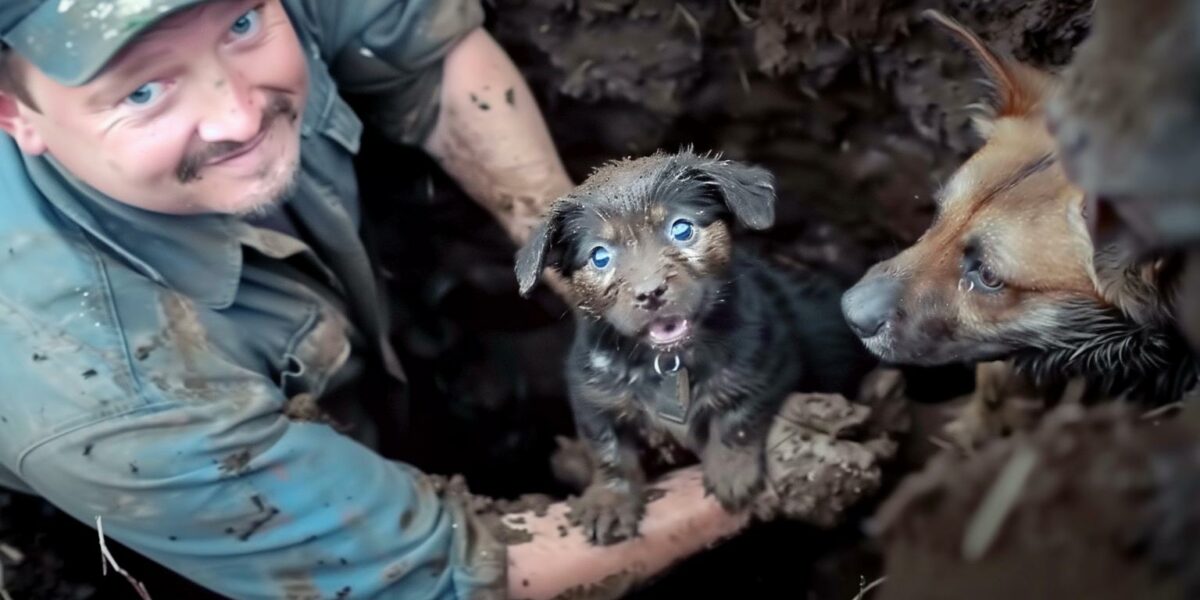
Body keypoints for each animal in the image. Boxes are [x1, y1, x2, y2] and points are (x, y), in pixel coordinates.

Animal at [511, 151, 868, 544]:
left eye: (681, 229)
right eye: (600, 257)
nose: (650, 293)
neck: (667, 359)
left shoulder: (767, 360)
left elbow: (738, 417)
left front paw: (731, 474)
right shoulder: (591, 391)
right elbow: (607, 447)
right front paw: (610, 500)